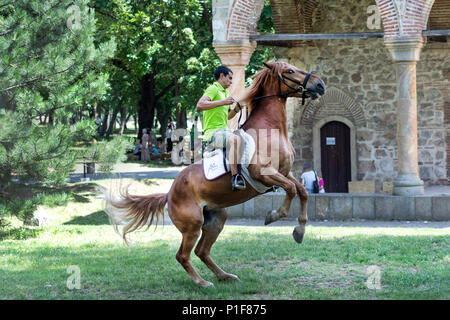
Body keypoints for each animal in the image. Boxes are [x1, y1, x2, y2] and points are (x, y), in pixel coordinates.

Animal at [103, 60, 326, 288]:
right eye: (289, 71)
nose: (320, 84)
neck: (270, 129)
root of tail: (169, 194)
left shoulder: (284, 173)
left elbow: (301, 191)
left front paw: (299, 231)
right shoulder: (264, 173)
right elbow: (291, 190)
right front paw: (273, 216)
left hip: (216, 218)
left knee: (202, 251)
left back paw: (224, 276)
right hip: (192, 225)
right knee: (183, 255)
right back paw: (202, 282)